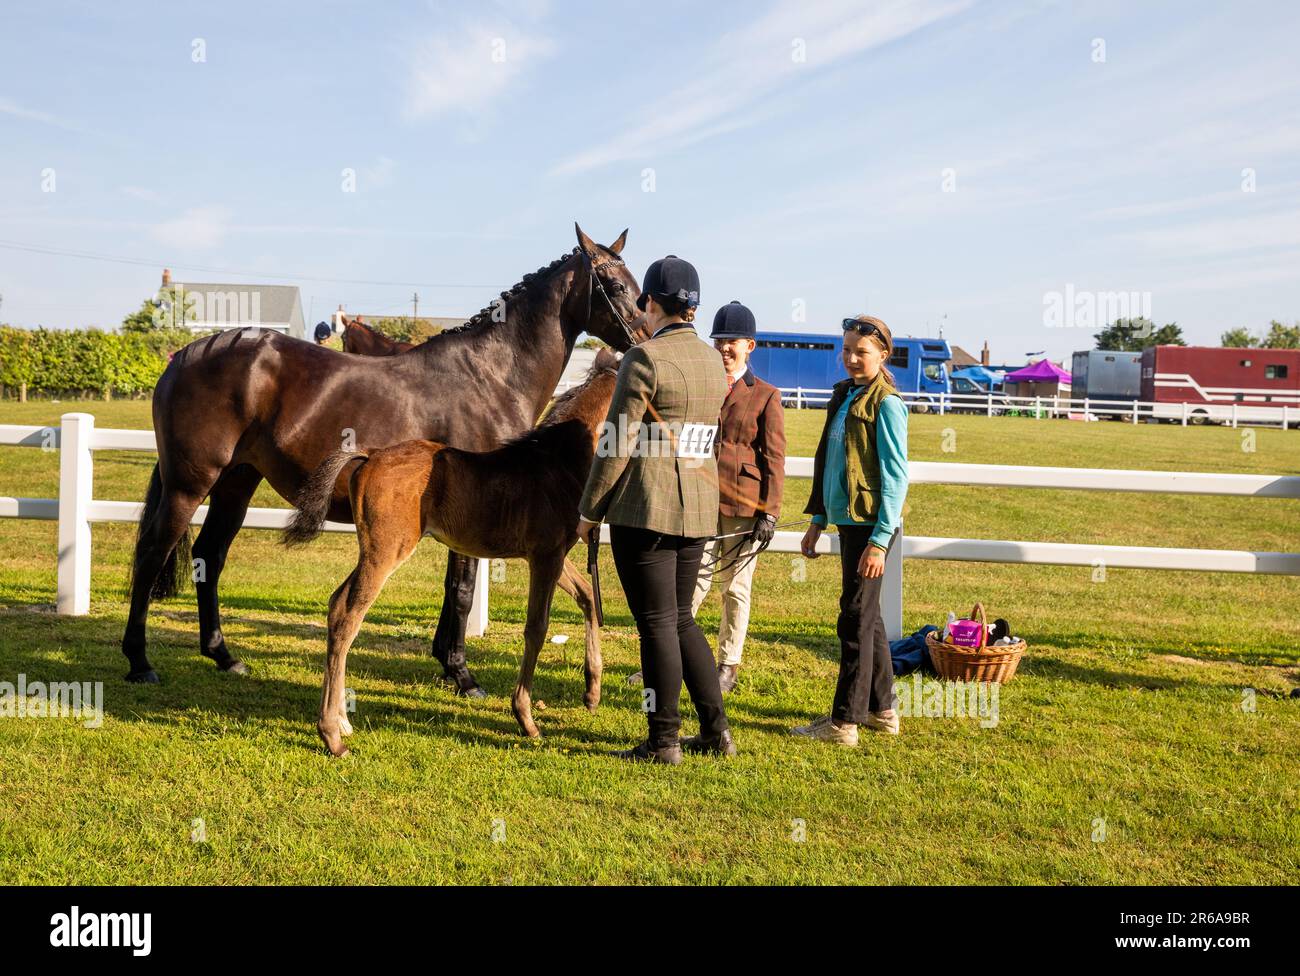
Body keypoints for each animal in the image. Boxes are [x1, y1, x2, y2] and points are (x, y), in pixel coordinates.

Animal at [289, 348, 624, 753]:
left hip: (372, 549)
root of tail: (370, 455)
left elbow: (588, 596)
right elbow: (537, 628)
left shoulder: (552, 555)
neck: (559, 463)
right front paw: (526, 719)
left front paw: (591, 693)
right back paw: (332, 734)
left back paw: (342, 720)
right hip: (385, 551)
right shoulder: (545, 557)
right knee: (348, 615)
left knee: (337, 602)